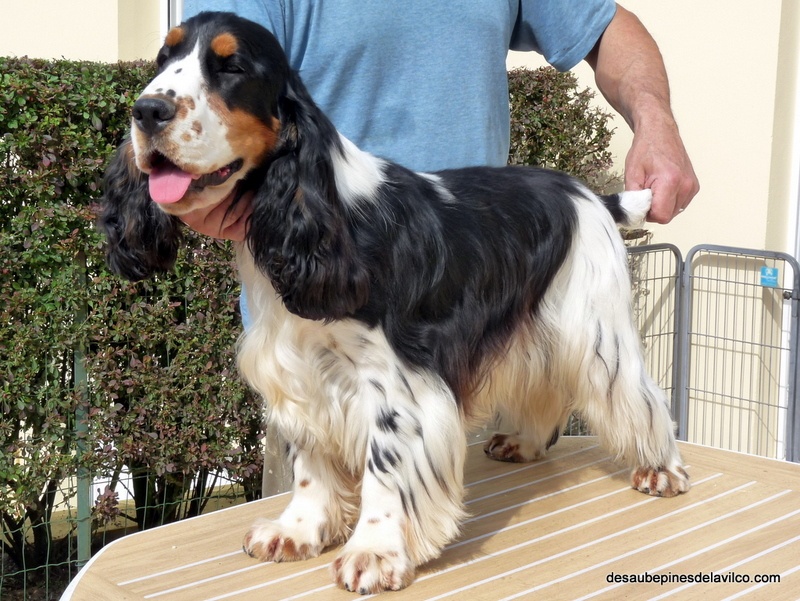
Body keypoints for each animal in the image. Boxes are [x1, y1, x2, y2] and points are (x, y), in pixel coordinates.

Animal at [99, 11, 689, 594]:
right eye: (164, 58)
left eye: (233, 67)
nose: (146, 111)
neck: (320, 211)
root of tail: (590, 194)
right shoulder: (300, 372)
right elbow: (310, 462)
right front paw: (298, 531)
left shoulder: (396, 380)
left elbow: (385, 466)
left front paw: (375, 551)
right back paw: (525, 443)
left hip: (596, 326)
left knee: (641, 397)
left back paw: (662, 468)